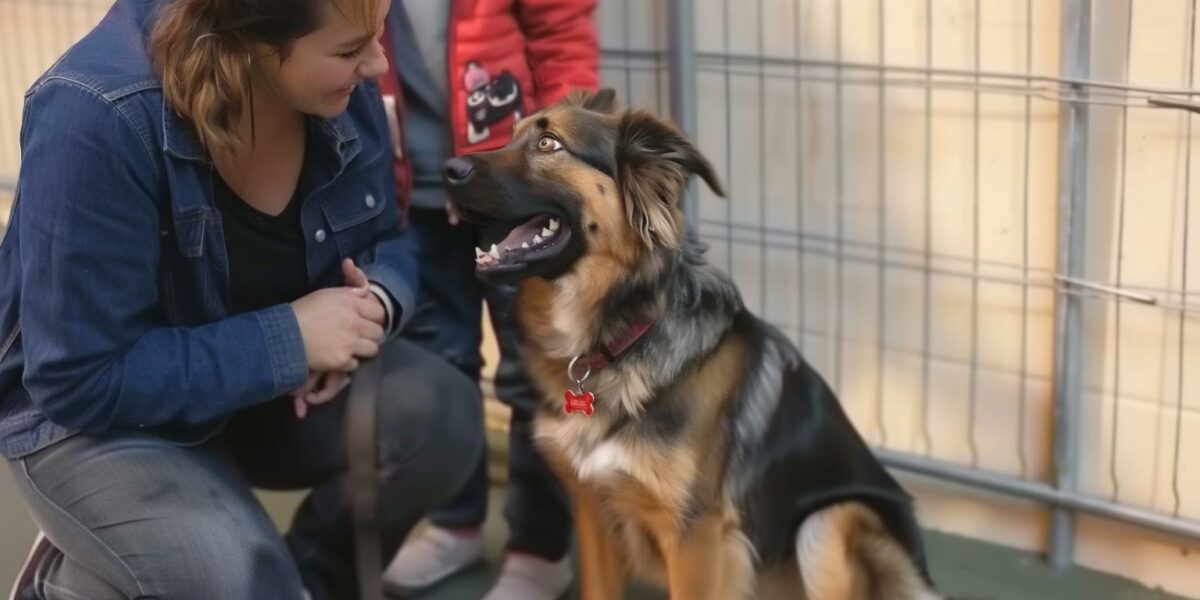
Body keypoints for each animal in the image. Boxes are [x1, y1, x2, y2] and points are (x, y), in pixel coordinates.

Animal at [446, 88, 940, 600]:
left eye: (549, 144)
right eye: (511, 133)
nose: (447, 169)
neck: (623, 335)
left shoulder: (695, 534)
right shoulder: (594, 509)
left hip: (830, 520)